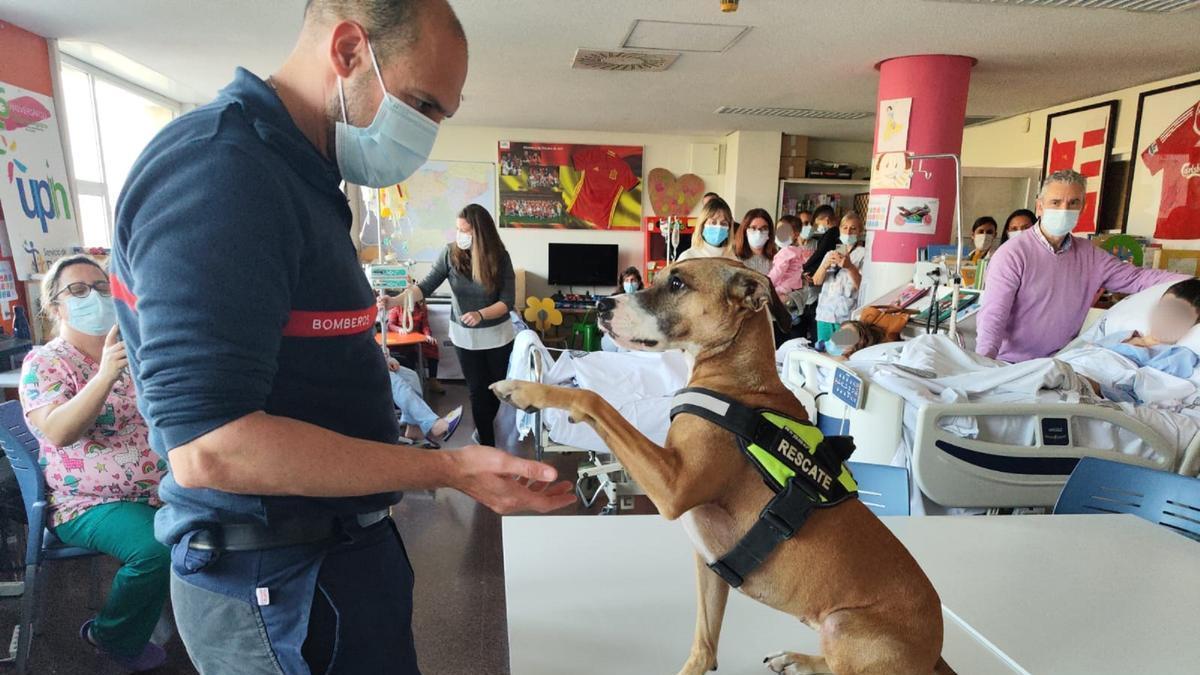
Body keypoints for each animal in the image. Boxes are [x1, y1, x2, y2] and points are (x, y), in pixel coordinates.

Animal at [492, 257, 950, 672]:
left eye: (677, 283)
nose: (603, 305)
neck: (737, 380)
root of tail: (936, 655)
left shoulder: (674, 486)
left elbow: (593, 399)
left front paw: (524, 388)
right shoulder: (711, 567)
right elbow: (705, 644)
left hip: (843, 626)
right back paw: (797, 660)